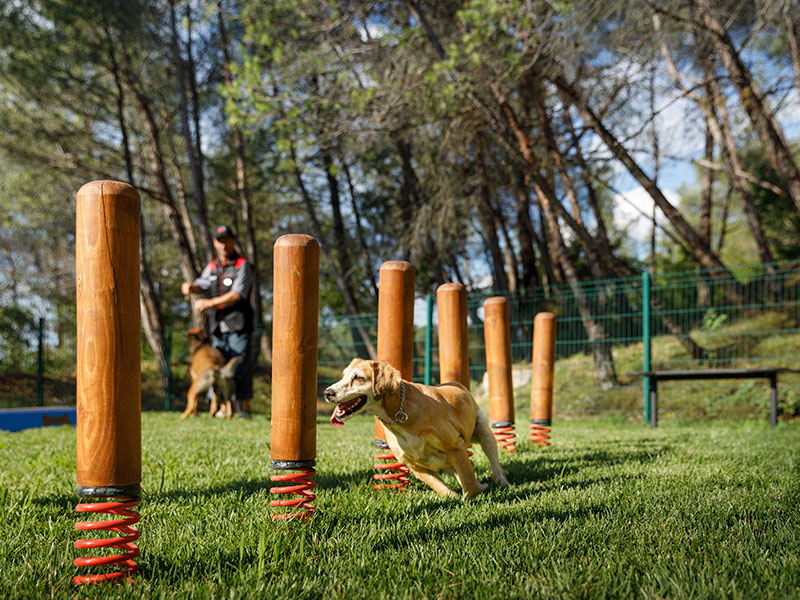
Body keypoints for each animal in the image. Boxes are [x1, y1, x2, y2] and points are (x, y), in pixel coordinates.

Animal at [324, 358, 506, 494]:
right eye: (343, 376)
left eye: (359, 377)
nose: (327, 393)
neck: (399, 412)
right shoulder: (415, 465)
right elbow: (443, 489)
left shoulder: (455, 446)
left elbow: (469, 483)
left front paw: (475, 494)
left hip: (484, 431)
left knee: (494, 463)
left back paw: (502, 481)